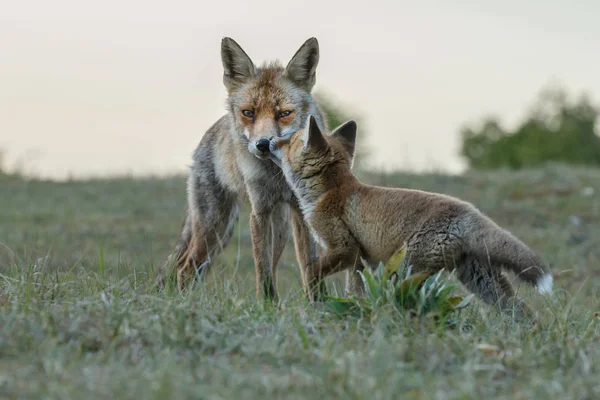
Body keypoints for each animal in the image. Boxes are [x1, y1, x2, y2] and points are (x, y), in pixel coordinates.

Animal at [156, 37, 332, 302]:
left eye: (284, 114)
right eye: (248, 112)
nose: (263, 144)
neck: (278, 177)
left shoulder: (301, 212)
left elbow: (309, 267)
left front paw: (318, 305)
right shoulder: (259, 211)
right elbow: (262, 270)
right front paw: (267, 306)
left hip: (273, 229)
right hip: (215, 224)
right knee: (185, 268)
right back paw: (185, 303)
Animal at [270, 115, 556, 318]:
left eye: (288, 141)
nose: (267, 142)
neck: (329, 191)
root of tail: (467, 210)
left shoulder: (344, 247)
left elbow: (310, 271)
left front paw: (314, 298)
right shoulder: (357, 259)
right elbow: (355, 290)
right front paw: (353, 309)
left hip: (407, 270)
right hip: (479, 280)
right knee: (519, 309)